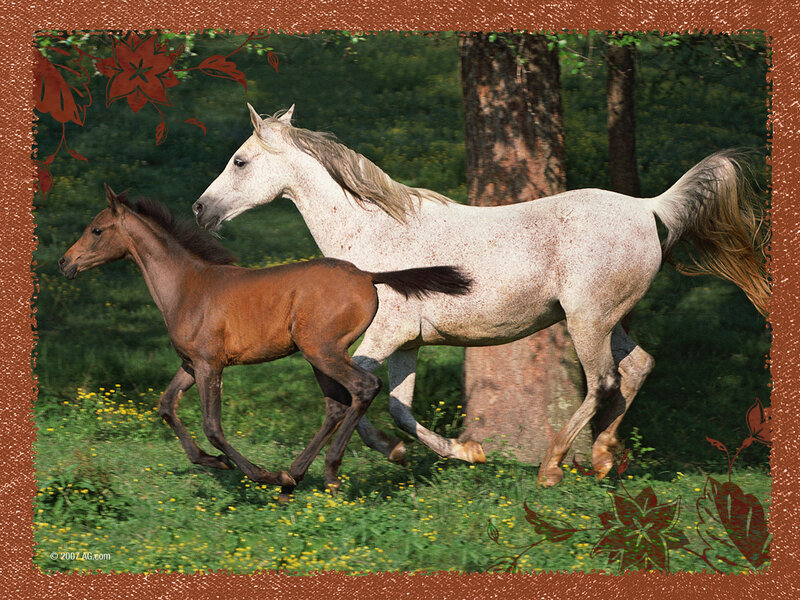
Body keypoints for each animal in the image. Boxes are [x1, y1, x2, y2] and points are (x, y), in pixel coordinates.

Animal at [59, 184, 472, 499]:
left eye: (97, 230)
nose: (65, 263)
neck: (187, 286)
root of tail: (368, 276)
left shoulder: (210, 365)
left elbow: (212, 426)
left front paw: (258, 473)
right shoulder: (190, 365)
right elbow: (166, 405)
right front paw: (212, 462)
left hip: (322, 350)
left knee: (363, 387)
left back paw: (328, 473)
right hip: (317, 354)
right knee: (336, 405)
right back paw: (294, 476)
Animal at [192, 104, 769, 487]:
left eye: (240, 161)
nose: (200, 209)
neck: (376, 236)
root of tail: (649, 207)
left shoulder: (384, 335)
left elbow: (359, 393)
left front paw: (413, 452)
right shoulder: (408, 344)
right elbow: (398, 408)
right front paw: (456, 452)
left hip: (587, 320)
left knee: (603, 381)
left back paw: (554, 465)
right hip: (607, 318)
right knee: (638, 367)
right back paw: (604, 456)